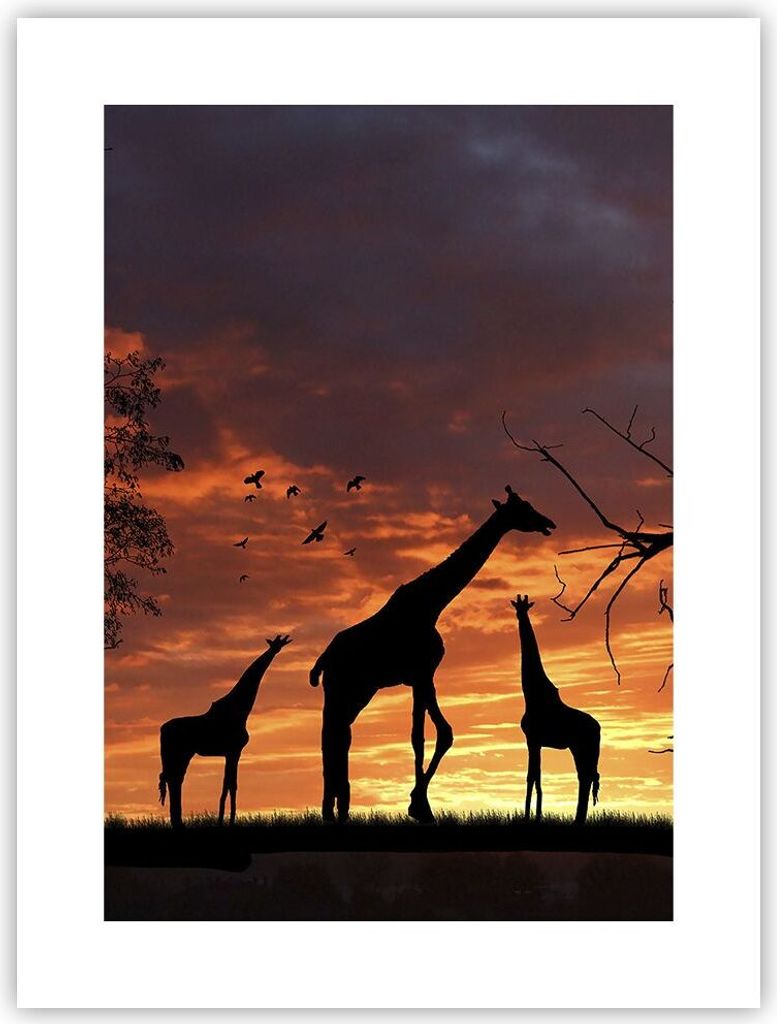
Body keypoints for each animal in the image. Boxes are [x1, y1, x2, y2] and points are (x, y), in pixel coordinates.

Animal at [158, 634, 292, 828]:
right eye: (276, 645)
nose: (277, 649)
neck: (241, 708)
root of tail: (161, 730)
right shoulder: (235, 750)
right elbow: (231, 785)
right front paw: (228, 821)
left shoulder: (231, 752)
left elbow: (227, 784)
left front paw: (223, 820)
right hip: (179, 752)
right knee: (174, 779)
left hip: (182, 754)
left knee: (175, 778)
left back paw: (178, 822)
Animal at [309, 486, 556, 824]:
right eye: (524, 508)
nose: (549, 522)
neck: (432, 604)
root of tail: (323, 660)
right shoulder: (423, 673)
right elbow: (443, 733)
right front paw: (420, 807)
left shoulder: (419, 677)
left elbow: (418, 736)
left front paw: (418, 804)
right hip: (340, 689)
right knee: (330, 736)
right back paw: (331, 811)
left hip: (359, 692)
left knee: (339, 735)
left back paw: (339, 809)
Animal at [511, 595, 601, 825]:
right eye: (517, 608)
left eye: (525, 608)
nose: (520, 616)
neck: (532, 694)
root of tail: (599, 728)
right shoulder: (536, 742)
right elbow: (537, 776)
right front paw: (535, 816)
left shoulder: (532, 739)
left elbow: (531, 777)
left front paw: (529, 818)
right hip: (581, 748)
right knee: (586, 776)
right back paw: (578, 820)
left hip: (583, 746)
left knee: (586, 776)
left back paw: (578, 820)